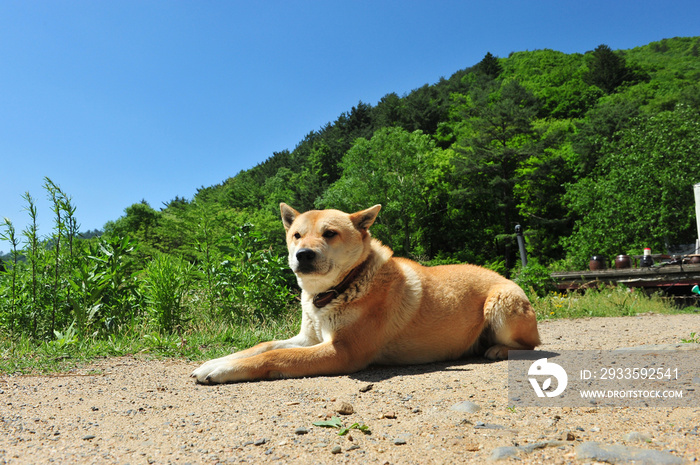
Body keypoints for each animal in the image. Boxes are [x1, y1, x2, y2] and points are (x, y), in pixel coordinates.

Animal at [191, 204, 540, 384]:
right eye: (297, 235)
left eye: (330, 233)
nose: (302, 254)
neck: (335, 291)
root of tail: (503, 277)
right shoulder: (309, 338)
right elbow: (262, 346)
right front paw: (216, 362)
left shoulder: (342, 352)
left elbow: (275, 356)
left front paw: (222, 370)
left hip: (502, 304)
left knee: (530, 346)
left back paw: (497, 350)